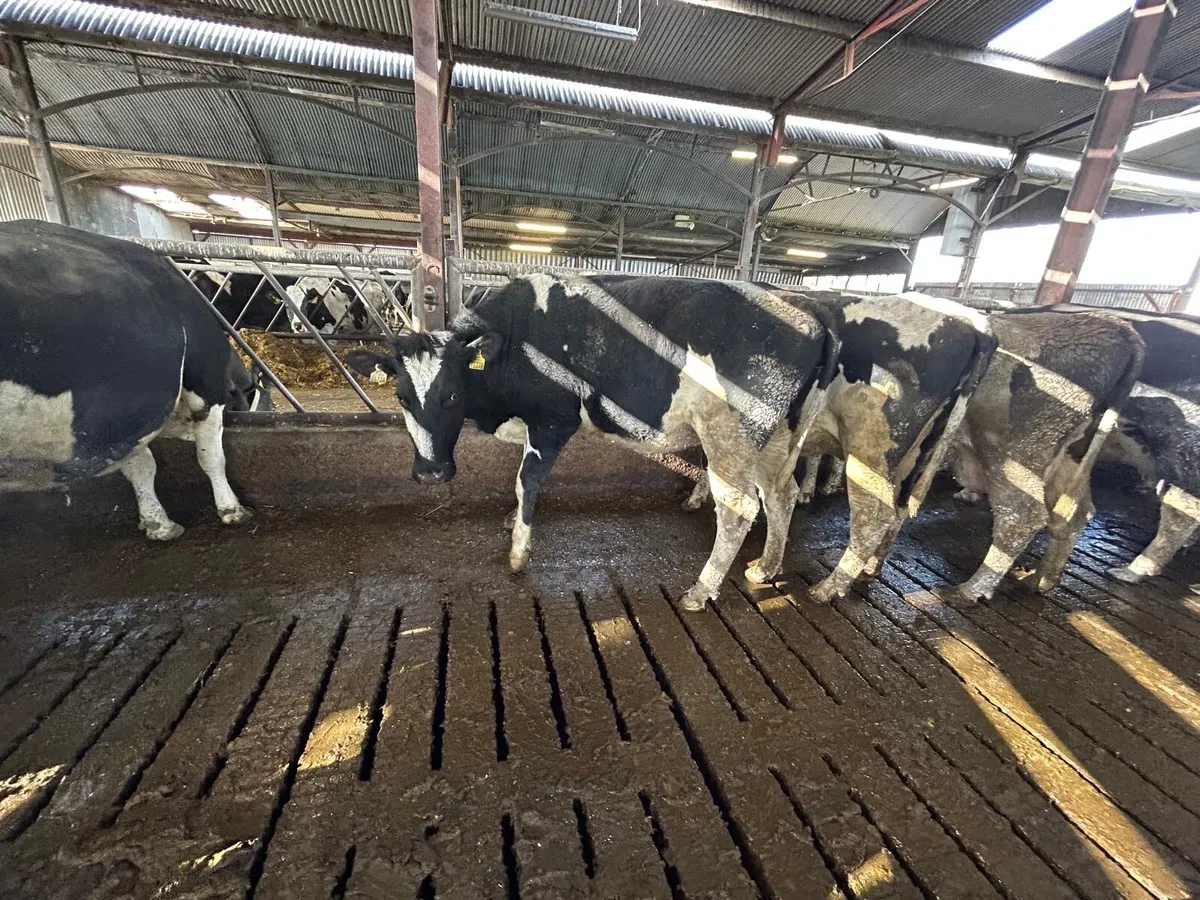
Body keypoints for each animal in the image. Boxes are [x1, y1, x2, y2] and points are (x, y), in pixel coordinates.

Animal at [0, 221, 264, 539]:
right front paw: (232, 511)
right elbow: (211, 456)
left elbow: (140, 466)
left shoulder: (120, 425)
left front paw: (158, 524)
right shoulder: (206, 389)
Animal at [345, 273, 839, 611]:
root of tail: (806, 309)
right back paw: (766, 566)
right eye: (401, 396)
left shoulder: (553, 420)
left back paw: (701, 590)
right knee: (781, 494)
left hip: (731, 435)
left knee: (739, 510)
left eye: (451, 395)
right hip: (778, 438)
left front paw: (519, 552)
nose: (430, 473)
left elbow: (527, 480)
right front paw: (511, 519)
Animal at [684, 289, 997, 602]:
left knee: (873, 516)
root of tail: (971, 324)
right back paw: (870, 566)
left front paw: (695, 498)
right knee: (898, 510)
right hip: (915, 453)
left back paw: (829, 588)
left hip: (870, 448)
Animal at [947, 308, 1144, 601]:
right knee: (1073, 515)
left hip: (1015, 454)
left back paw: (971, 590)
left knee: (1021, 514)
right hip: (1068, 459)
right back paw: (1041, 579)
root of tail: (1115, 324)